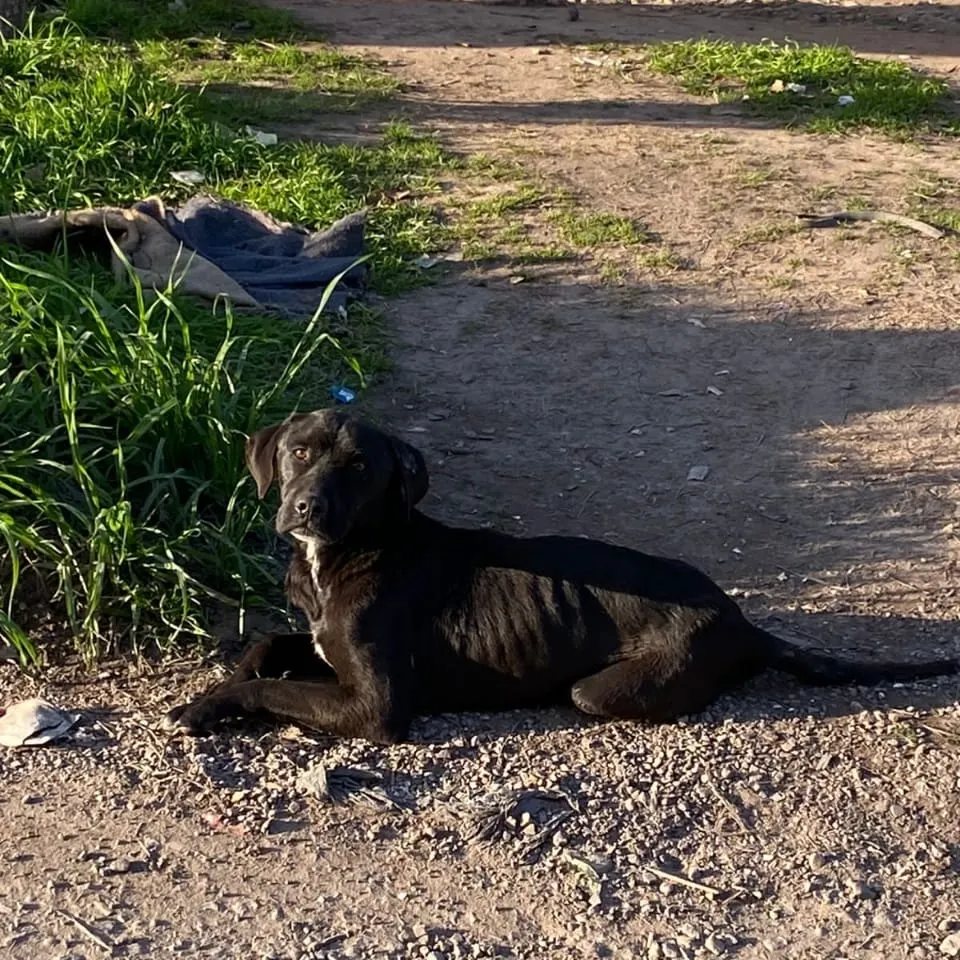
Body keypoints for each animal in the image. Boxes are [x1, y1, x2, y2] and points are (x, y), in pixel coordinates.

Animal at [163, 406, 952, 744]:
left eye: (359, 467)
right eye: (298, 451)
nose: (307, 506)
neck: (353, 549)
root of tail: (738, 618)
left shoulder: (374, 707)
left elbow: (271, 687)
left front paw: (211, 705)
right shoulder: (322, 644)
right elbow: (267, 646)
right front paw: (225, 675)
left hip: (598, 690)